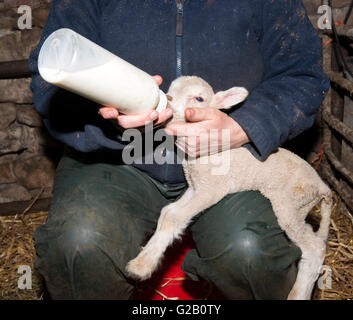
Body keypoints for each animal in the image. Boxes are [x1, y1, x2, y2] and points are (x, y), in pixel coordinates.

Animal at [125, 75, 332, 300]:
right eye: (171, 88)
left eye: (199, 98)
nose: (168, 99)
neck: (199, 159)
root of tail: (322, 186)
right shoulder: (195, 187)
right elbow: (167, 212)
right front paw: (143, 258)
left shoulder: (211, 189)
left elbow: (174, 217)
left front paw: (141, 267)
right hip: (299, 208)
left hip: (291, 205)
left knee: (315, 248)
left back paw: (298, 294)